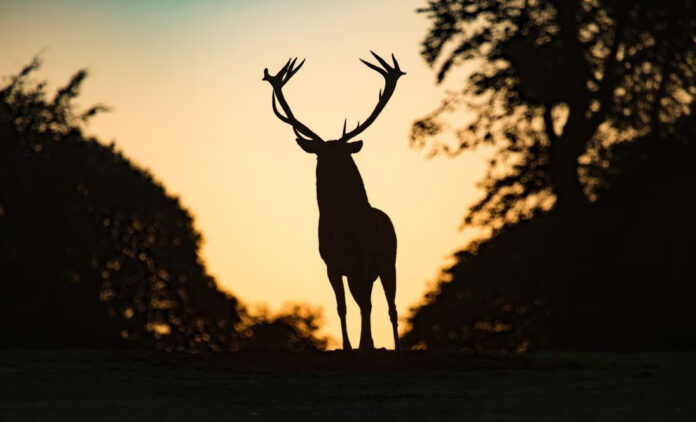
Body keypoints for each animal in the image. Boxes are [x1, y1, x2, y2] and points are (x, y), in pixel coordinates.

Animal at [262, 52, 406, 350]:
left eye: (319, 154)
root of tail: (374, 226)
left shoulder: (331, 263)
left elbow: (342, 307)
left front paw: (350, 345)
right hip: (390, 259)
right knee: (391, 306)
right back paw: (394, 346)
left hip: (359, 258)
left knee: (364, 304)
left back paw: (365, 344)